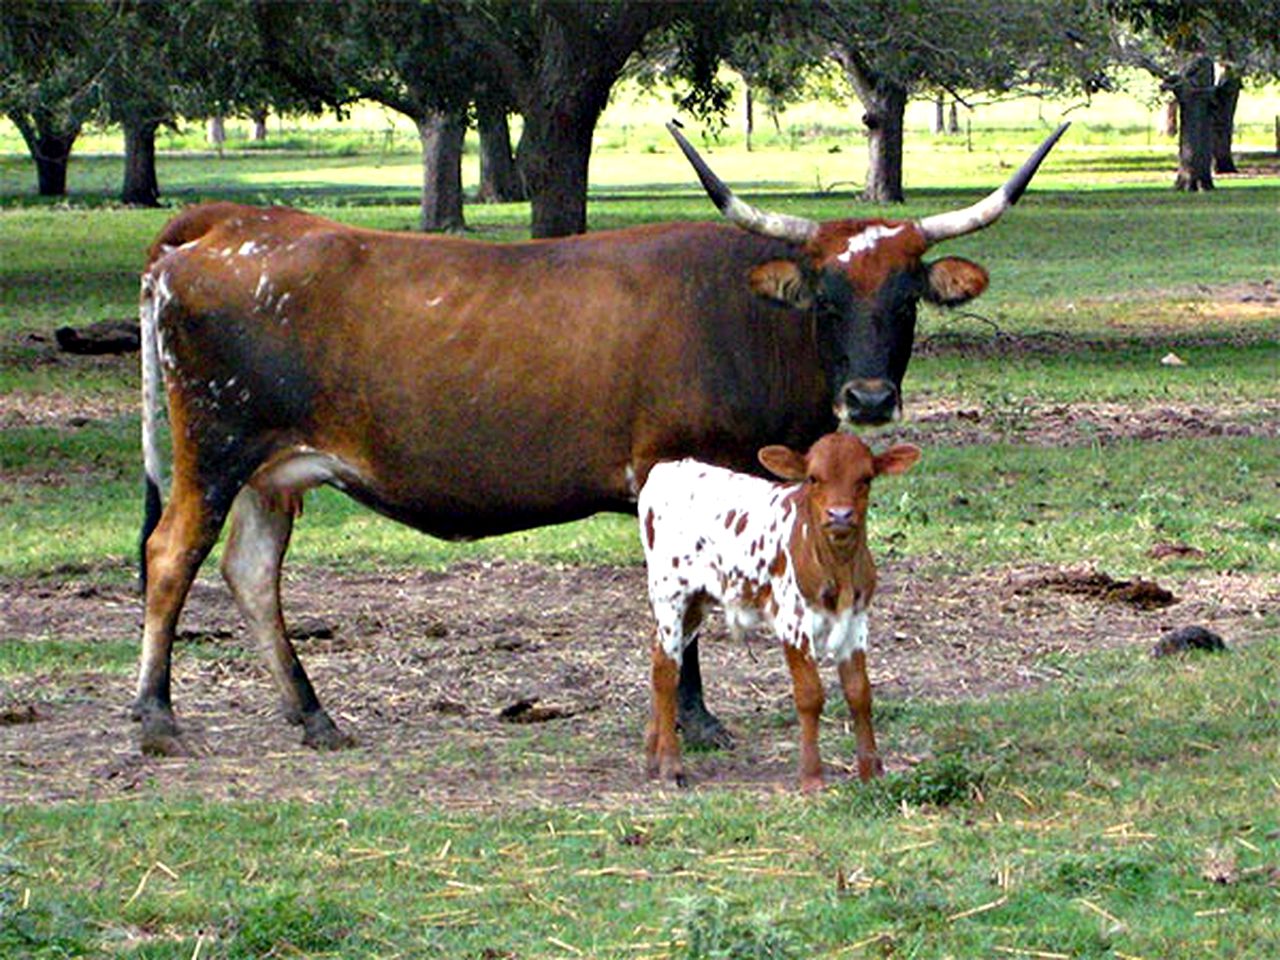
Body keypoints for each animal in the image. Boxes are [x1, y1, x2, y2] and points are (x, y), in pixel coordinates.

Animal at [640, 435, 921, 788]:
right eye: (813, 478)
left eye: (866, 478)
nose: (840, 515)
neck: (837, 565)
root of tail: (669, 468)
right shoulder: (794, 622)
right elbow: (810, 694)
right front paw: (812, 777)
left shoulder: (857, 621)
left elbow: (859, 692)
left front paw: (871, 772)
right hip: (670, 595)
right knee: (666, 672)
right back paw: (670, 765)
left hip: (696, 604)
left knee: (661, 661)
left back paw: (653, 755)